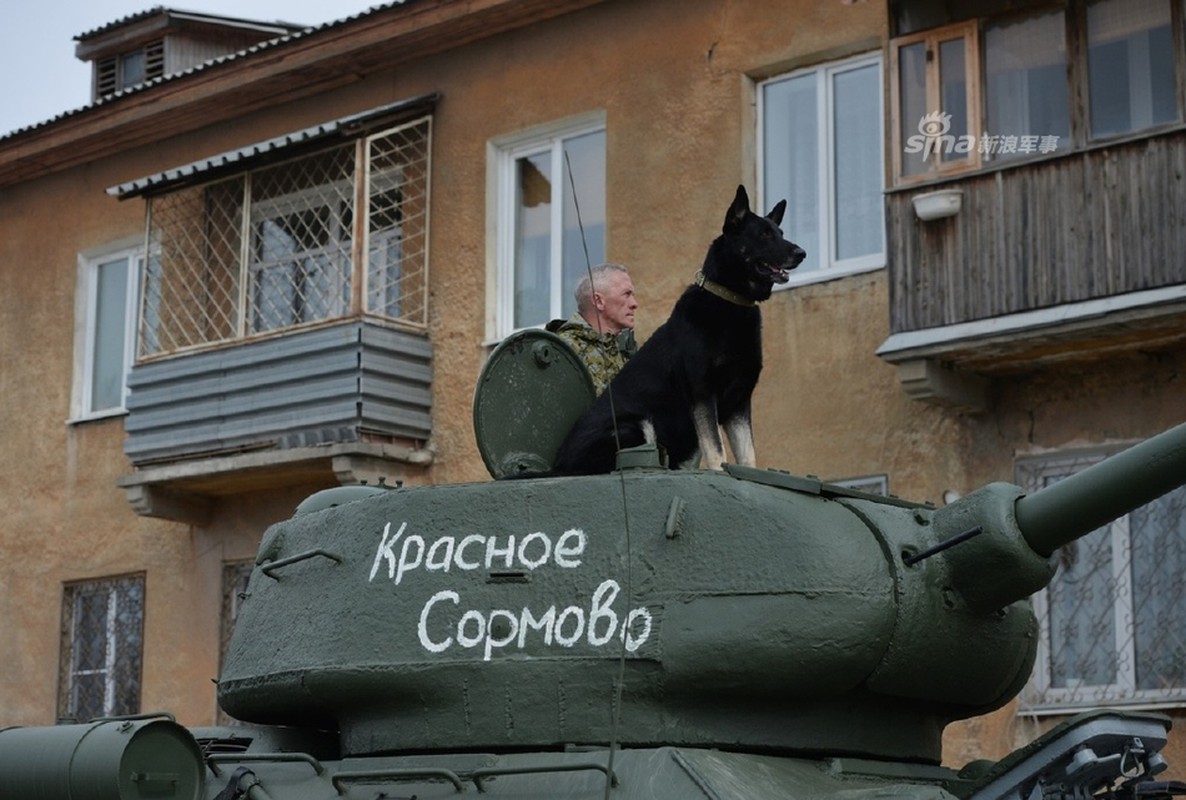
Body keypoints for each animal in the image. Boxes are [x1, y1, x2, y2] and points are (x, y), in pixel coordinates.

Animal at [547, 186, 806, 476]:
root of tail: (556, 467)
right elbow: (717, 452)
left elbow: (748, 458)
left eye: (780, 233)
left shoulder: (739, 403)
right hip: (637, 424)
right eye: (763, 234)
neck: (729, 301)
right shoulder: (703, 394)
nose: (802, 253)